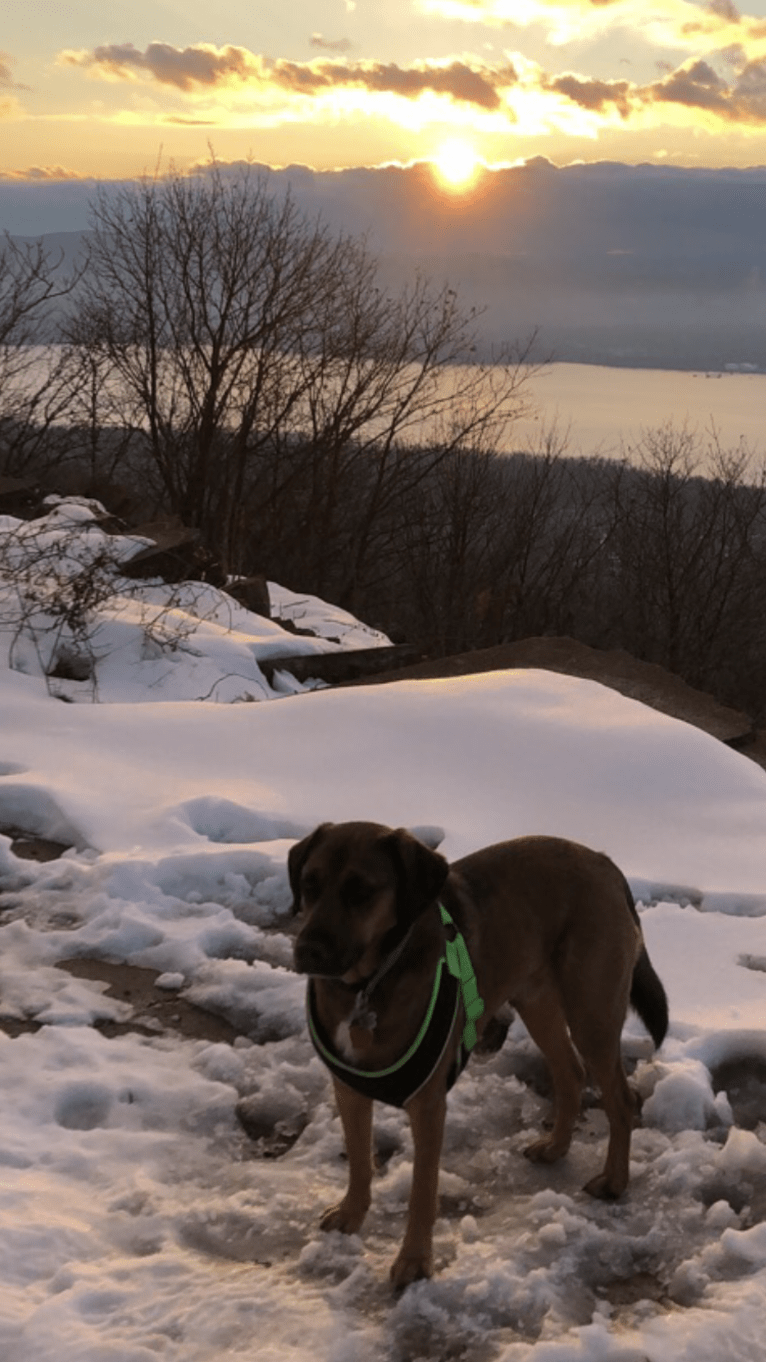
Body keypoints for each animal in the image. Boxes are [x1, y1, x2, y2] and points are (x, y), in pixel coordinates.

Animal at [288, 817, 665, 1285]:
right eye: (309, 884)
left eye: (361, 891)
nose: (306, 951)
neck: (369, 984)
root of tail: (607, 865)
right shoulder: (350, 1089)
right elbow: (359, 1161)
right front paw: (351, 1215)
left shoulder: (428, 1105)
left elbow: (422, 1190)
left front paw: (414, 1261)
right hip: (536, 1000)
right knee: (570, 1073)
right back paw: (556, 1147)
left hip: (591, 1011)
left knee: (621, 1099)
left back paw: (614, 1181)